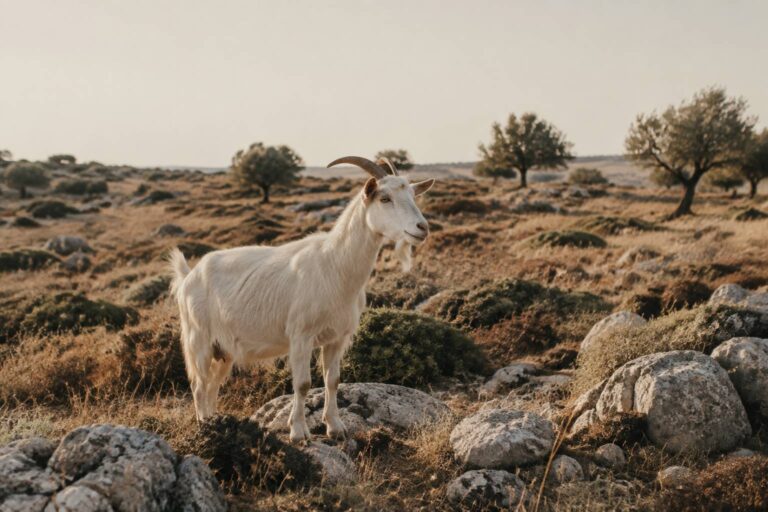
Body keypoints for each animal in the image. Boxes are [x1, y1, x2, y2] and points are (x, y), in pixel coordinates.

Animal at [169, 156, 434, 442]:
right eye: (384, 198)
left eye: (413, 195)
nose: (422, 228)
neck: (334, 265)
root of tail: (188, 276)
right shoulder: (300, 336)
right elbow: (303, 383)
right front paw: (298, 432)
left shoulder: (337, 338)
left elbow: (333, 380)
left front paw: (335, 427)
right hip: (198, 339)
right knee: (199, 384)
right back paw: (204, 427)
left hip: (224, 349)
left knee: (212, 385)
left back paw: (215, 422)